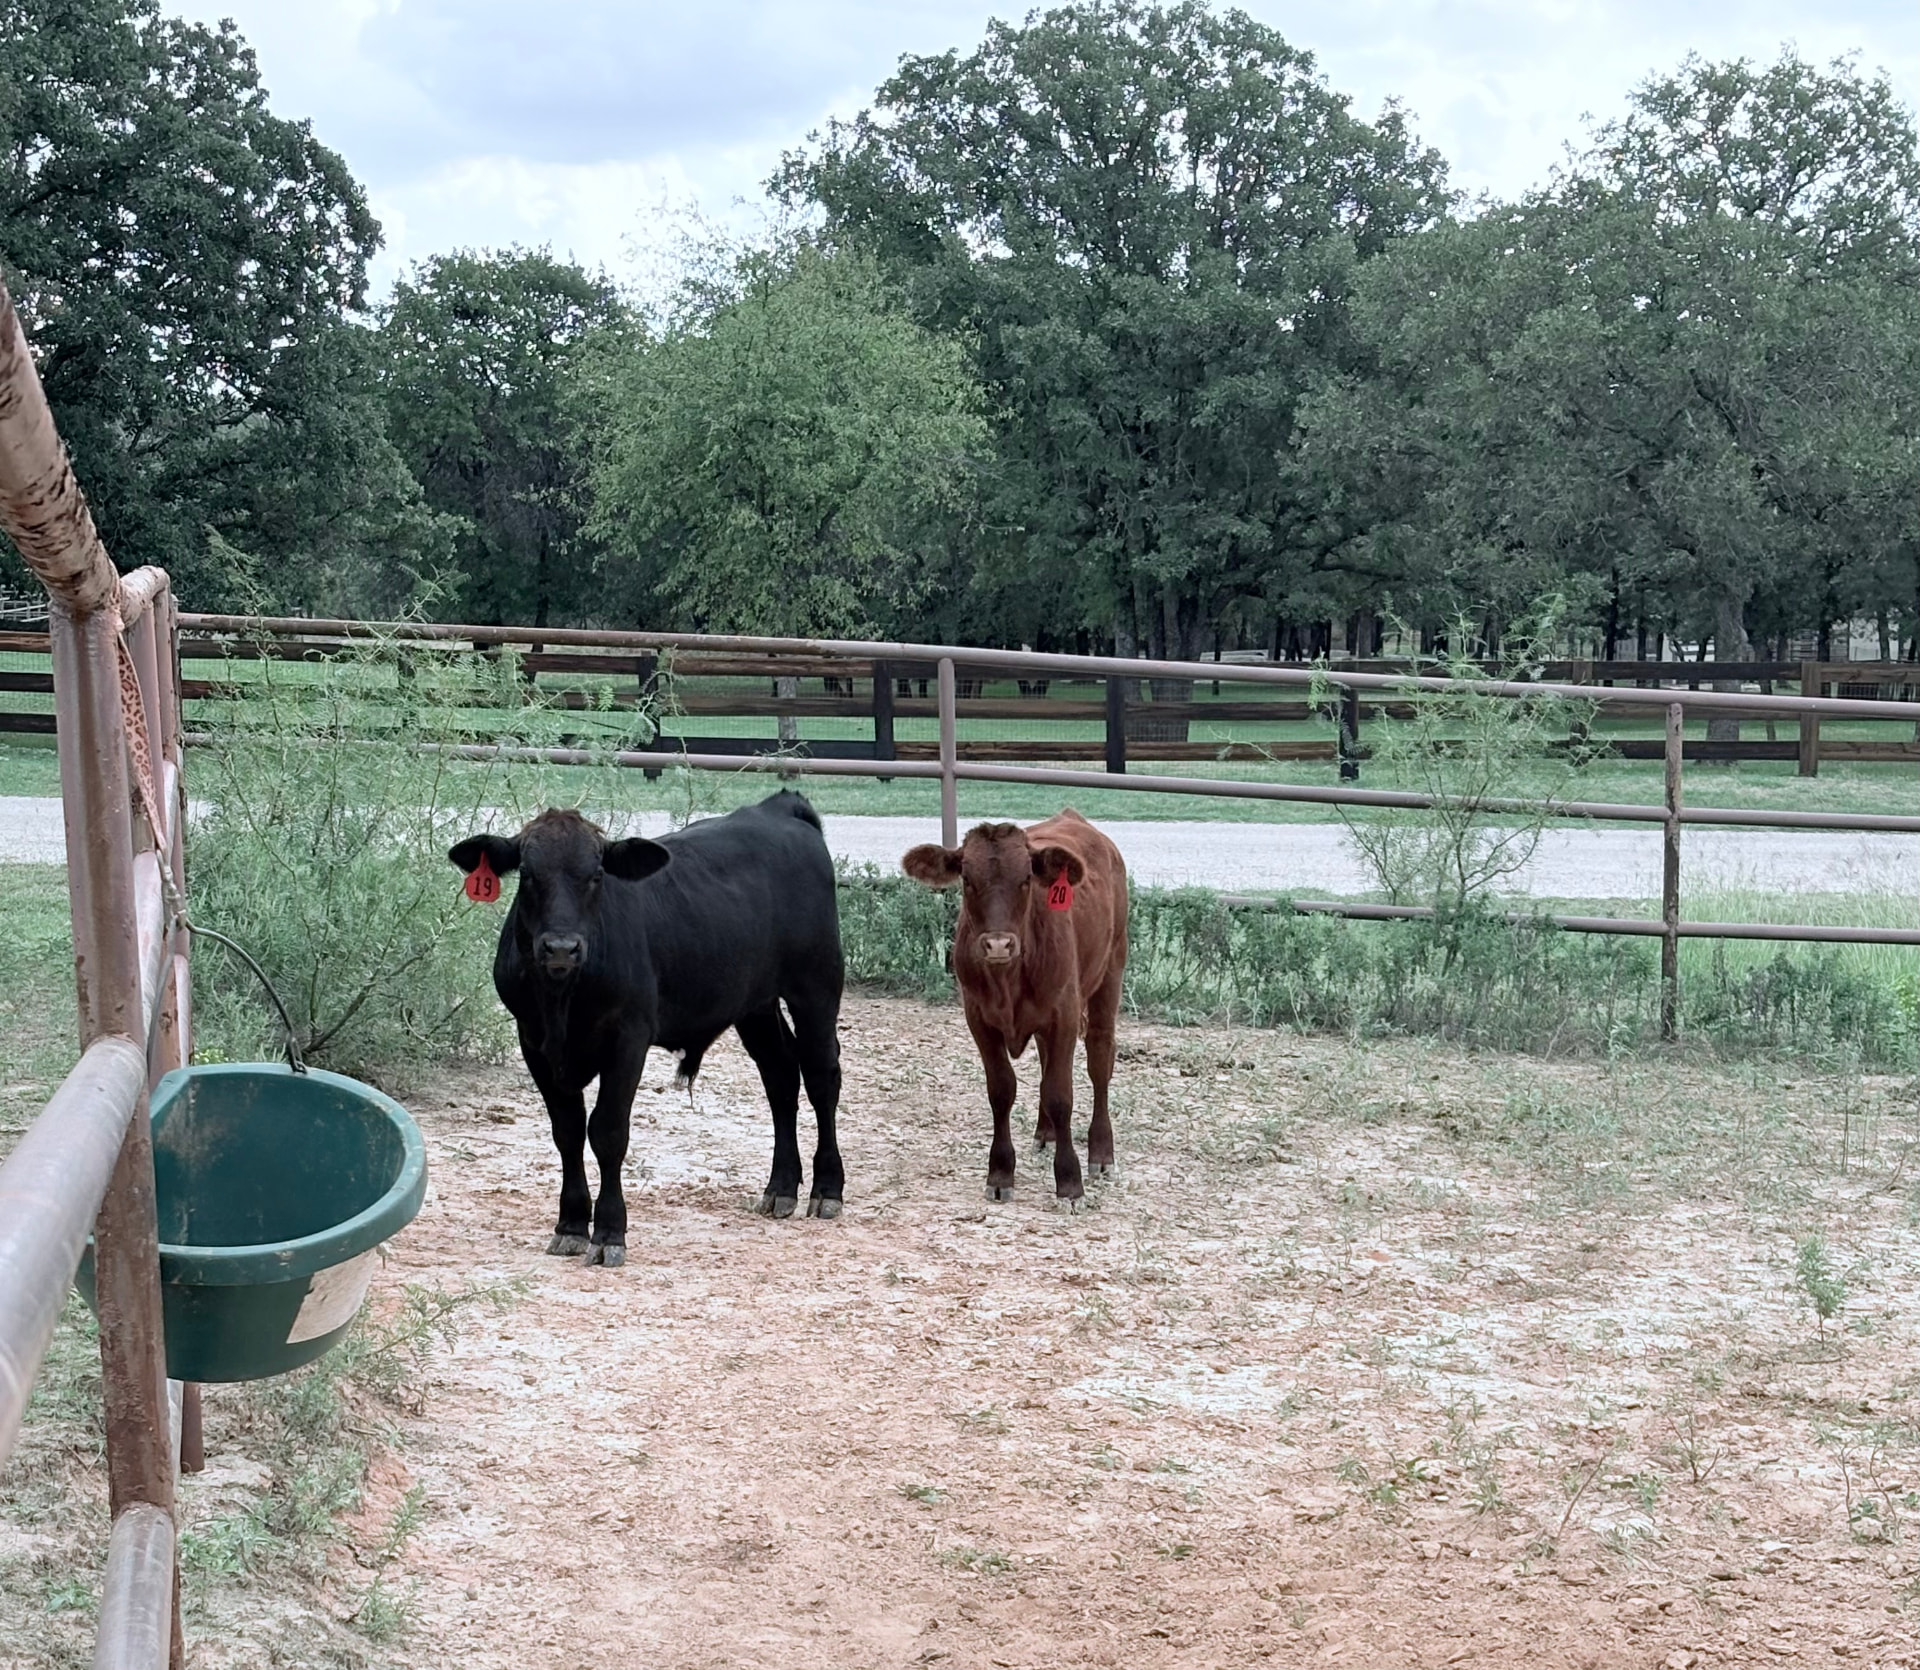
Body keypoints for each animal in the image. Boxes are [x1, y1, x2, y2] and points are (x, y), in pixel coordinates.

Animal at [448, 792, 845, 1265]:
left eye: (597, 874)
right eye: (527, 874)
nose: (561, 947)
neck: (562, 998)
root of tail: (780, 808)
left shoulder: (628, 1038)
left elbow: (607, 1131)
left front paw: (609, 1232)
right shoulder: (534, 1041)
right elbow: (567, 1131)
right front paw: (571, 1225)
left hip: (817, 985)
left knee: (821, 1076)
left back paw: (827, 1189)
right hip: (755, 1003)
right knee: (781, 1076)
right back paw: (781, 1187)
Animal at [901, 810, 1127, 1205]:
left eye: (1026, 879)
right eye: (967, 879)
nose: (997, 945)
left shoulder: (1065, 1014)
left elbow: (1059, 1094)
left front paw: (1070, 1181)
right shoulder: (978, 1018)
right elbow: (1002, 1090)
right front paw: (1000, 1172)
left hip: (1111, 970)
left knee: (1099, 1059)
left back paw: (1101, 1152)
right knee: (1046, 1062)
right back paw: (1045, 1134)